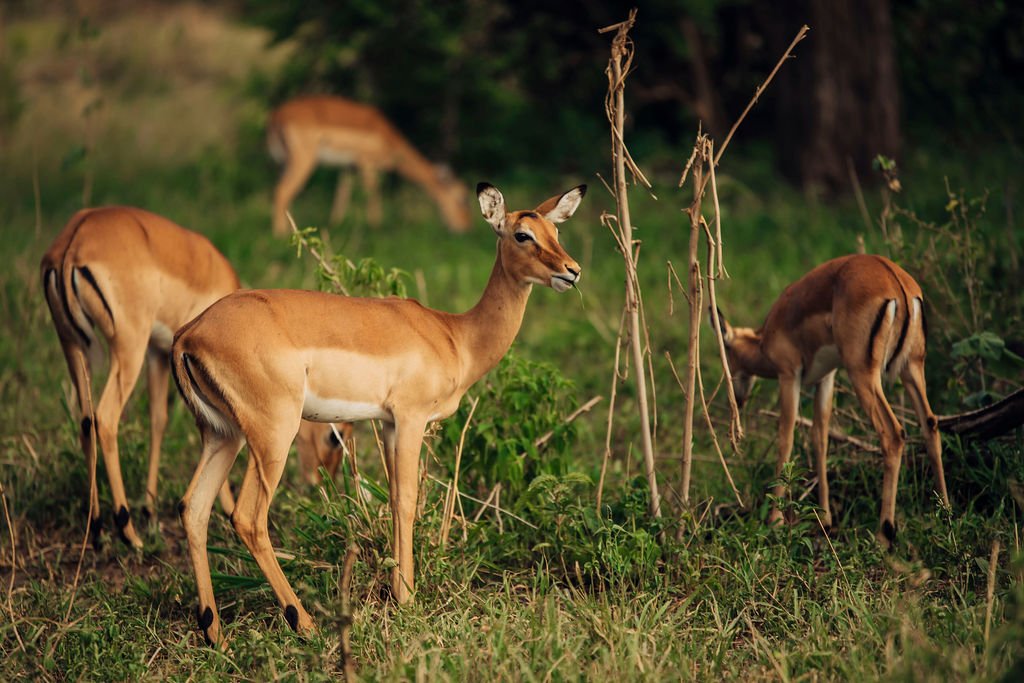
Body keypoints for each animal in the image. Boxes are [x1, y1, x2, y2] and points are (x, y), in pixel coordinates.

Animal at [41, 207, 347, 548]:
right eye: (335, 436)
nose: (324, 483)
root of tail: (75, 240)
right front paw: (223, 509)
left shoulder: (158, 353)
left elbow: (158, 421)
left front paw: (150, 509)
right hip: (126, 349)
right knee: (104, 418)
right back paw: (127, 530)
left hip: (76, 347)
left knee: (84, 421)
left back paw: (96, 530)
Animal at [172, 182, 585, 646]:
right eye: (522, 234)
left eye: (555, 230)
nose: (571, 270)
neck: (455, 336)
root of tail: (190, 333)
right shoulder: (410, 419)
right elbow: (407, 500)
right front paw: (407, 598)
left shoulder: (387, 424)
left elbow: (391, 497)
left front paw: (397, 590)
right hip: (273, 433)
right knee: (247, 517)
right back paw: (304, 623)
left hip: (222, 434)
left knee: (193, 507)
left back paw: (215, 632)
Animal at [267, 95, 471, 236]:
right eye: (462, 197)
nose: (464, 226)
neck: (388, 138)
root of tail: (276, 116)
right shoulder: (367, 163)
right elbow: (372, 190)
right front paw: (376, 226)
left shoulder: (348, 167)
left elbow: (343, 193)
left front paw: (336, 223)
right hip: (304, 160)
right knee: (282, 191)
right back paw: (280, 234)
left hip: (283, 164)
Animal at [714, 254, 949, 547]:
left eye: (725, 356)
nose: (737, 400)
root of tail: (897, 283)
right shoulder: (826, 378)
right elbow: (820, 438)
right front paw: (824, 518)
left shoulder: (788, 375)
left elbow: (785, 439)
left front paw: (775, 521)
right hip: (912, 367)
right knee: (931, 424)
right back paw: (945, 514)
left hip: (863, 374)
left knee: (893, 434)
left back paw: (884, 534)